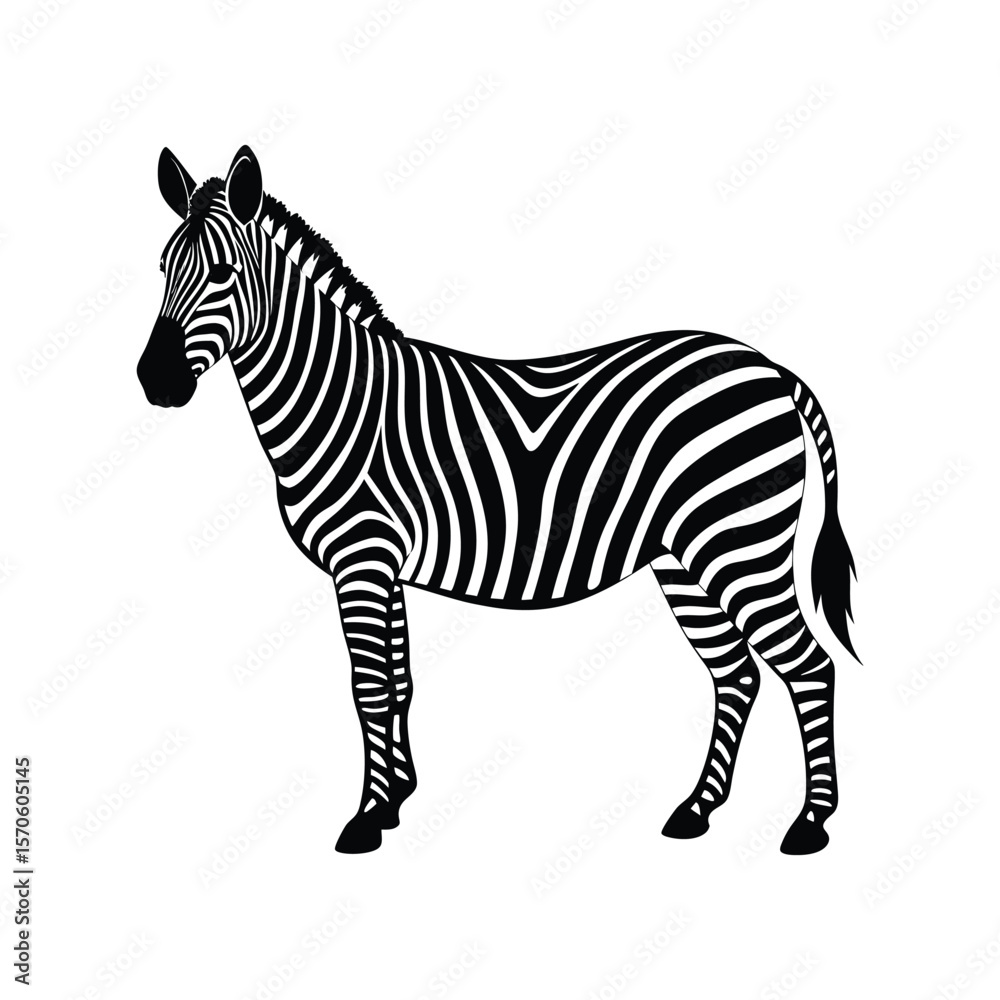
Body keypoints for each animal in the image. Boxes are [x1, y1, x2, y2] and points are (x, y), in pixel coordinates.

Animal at [138, 145, 857, 856]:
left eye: (223, 273)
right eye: (162, 268)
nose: (155, 381)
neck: (338, 399)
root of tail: (768, 367)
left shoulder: (362, 558)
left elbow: (369, 688)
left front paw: (366, 818)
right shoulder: (384, 566)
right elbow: (399, 681)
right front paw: (397, 800)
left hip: (741, 545)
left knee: (808, 664)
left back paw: (811, 823)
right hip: (685, 560)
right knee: (736, 674)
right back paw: (697, 810)